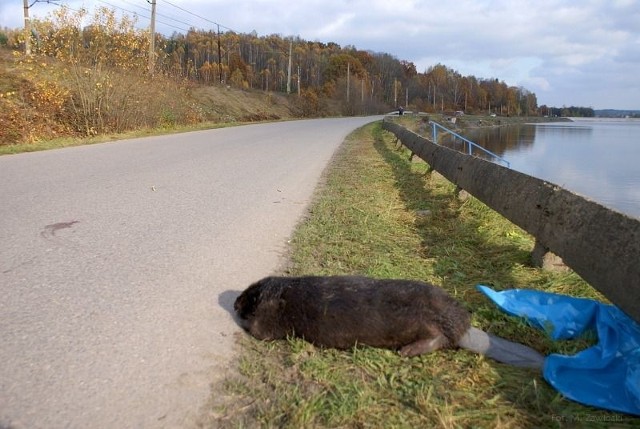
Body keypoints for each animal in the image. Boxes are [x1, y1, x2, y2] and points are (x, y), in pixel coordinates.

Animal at [235, 278, 544, 368]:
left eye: (249, 295)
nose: (236, 301)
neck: (282, 294)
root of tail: (466, 329)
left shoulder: (273, 319)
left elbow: (261, 331)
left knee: (439, 338)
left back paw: (408, 351)